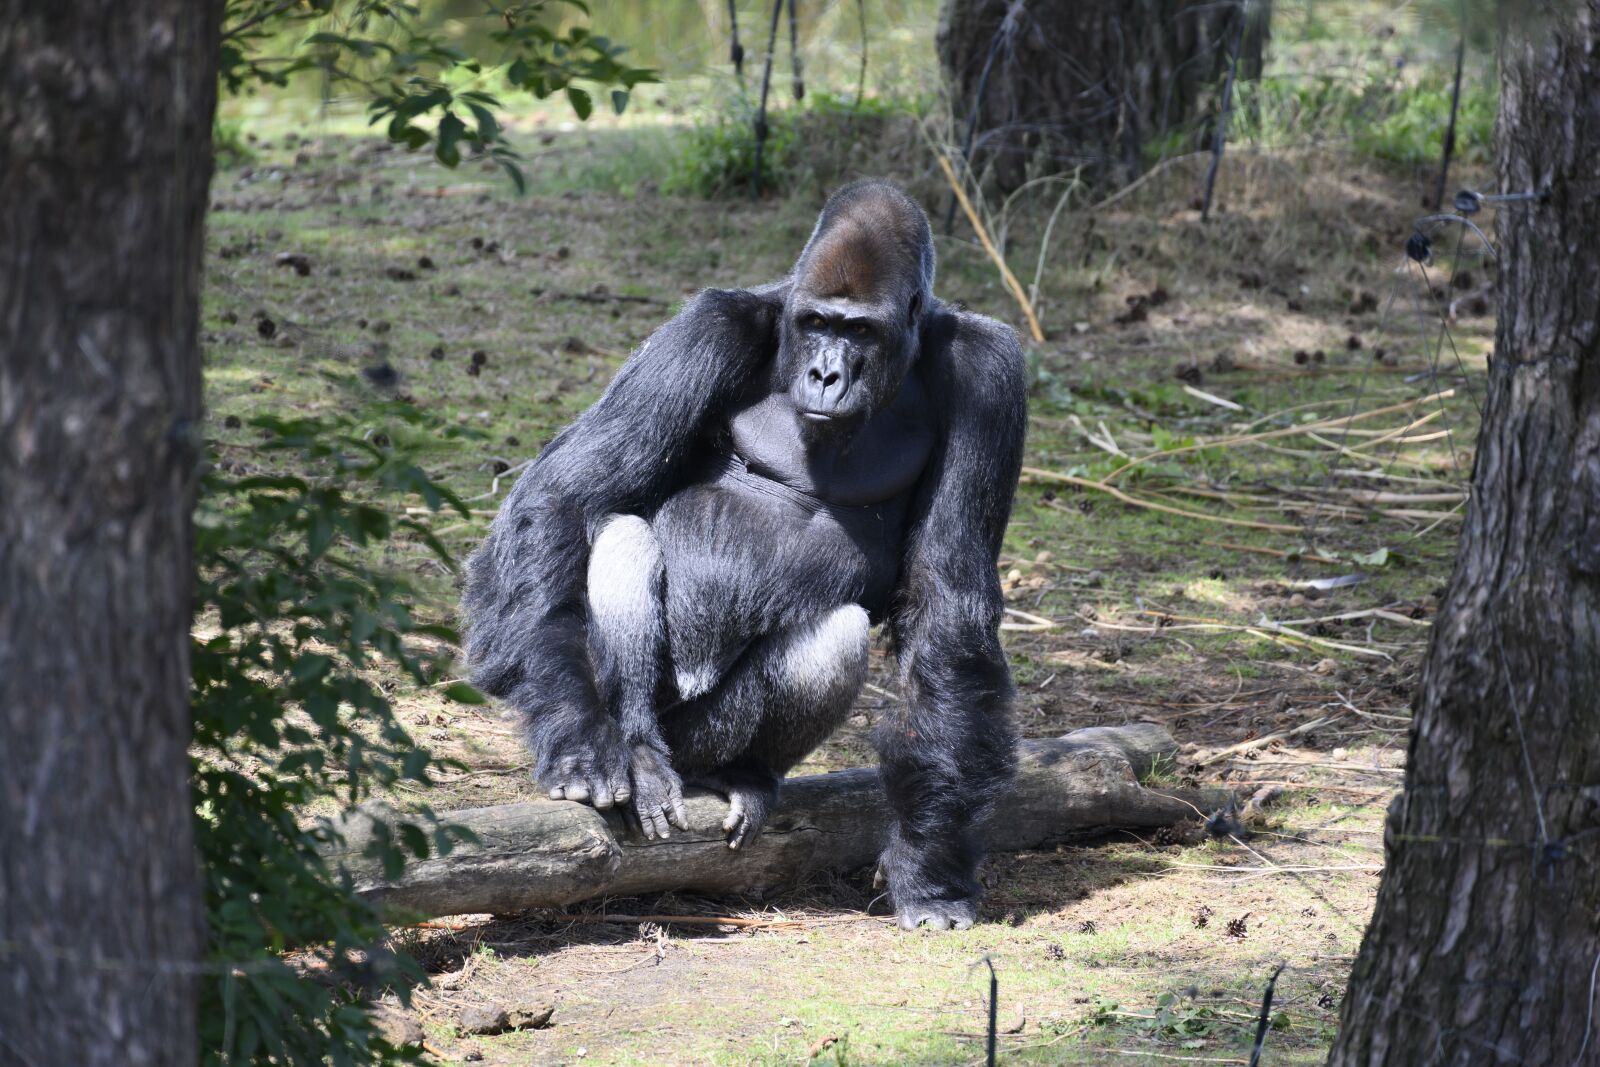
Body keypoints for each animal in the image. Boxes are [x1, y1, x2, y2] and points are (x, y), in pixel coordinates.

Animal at [464, 181, 1030, 927]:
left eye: (859, 331)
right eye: (816, 322)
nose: (824, 373)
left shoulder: (987, 376)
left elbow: (947, 603)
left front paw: (929, 863)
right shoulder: (711, 325)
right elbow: (566, 495)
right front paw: (574, 733)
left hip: (704, 737)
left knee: (835, 637)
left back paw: (739, 773)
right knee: (620, 531)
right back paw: (636, 748)